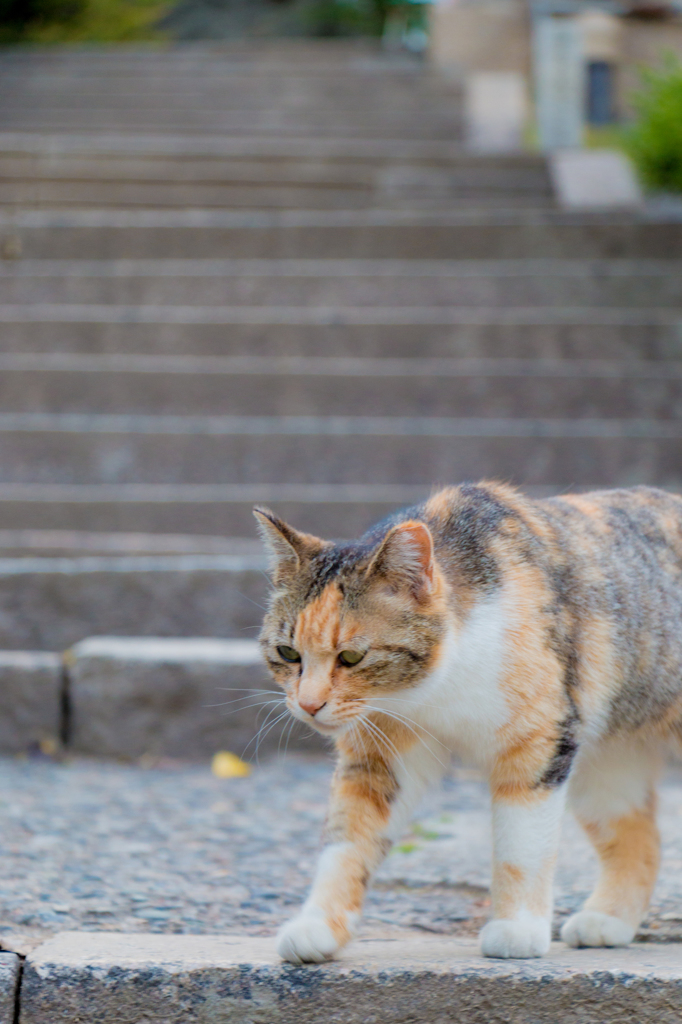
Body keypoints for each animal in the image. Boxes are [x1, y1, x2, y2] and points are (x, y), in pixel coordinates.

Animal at [253, 479, 679, 958]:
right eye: (288, 653)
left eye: (351, 657)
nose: (308, 705)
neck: (430, 691)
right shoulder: (381, 754)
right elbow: (347, 838)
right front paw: (317, 926)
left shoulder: (538, 740)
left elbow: (521, 844)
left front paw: (516, 929)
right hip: (606, 757)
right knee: (640, 837)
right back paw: (607, 921)